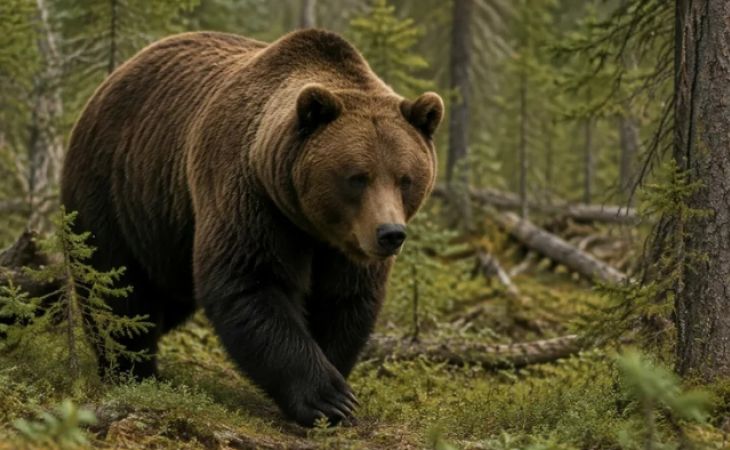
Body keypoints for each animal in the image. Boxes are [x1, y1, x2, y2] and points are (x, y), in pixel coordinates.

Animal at [60, 29, 444, 427]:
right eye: (358, 177)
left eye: (405, 179)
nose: (390, 234)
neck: (311, 225)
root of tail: (110, 80)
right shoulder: (249, 194)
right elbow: (250, 282)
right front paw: (328, 398)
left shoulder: (345, 245)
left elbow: (343, 300)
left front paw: (337, 383)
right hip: (115, 191)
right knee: (118, 288)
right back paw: (131, 367)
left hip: (165, 234)